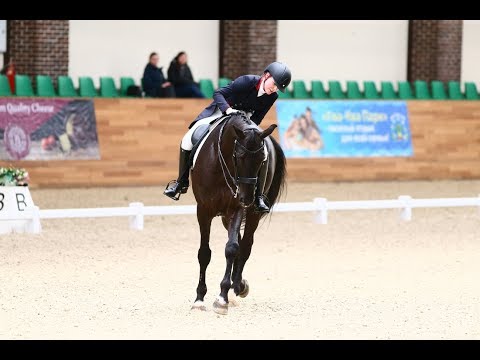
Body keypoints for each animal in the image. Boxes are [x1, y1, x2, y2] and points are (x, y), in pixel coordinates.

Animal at [188, 111, 284, 314]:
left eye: (262, 160)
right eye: (238, 156)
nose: (246, 198)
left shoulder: (236, 209)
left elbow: (232, 249)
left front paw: (222, 297)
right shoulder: (203, 210)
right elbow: (204, 253)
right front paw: (199, 299)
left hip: (251, 213)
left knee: (245, 245)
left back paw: (236, 287)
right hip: (225, 216)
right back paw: (237, 285)